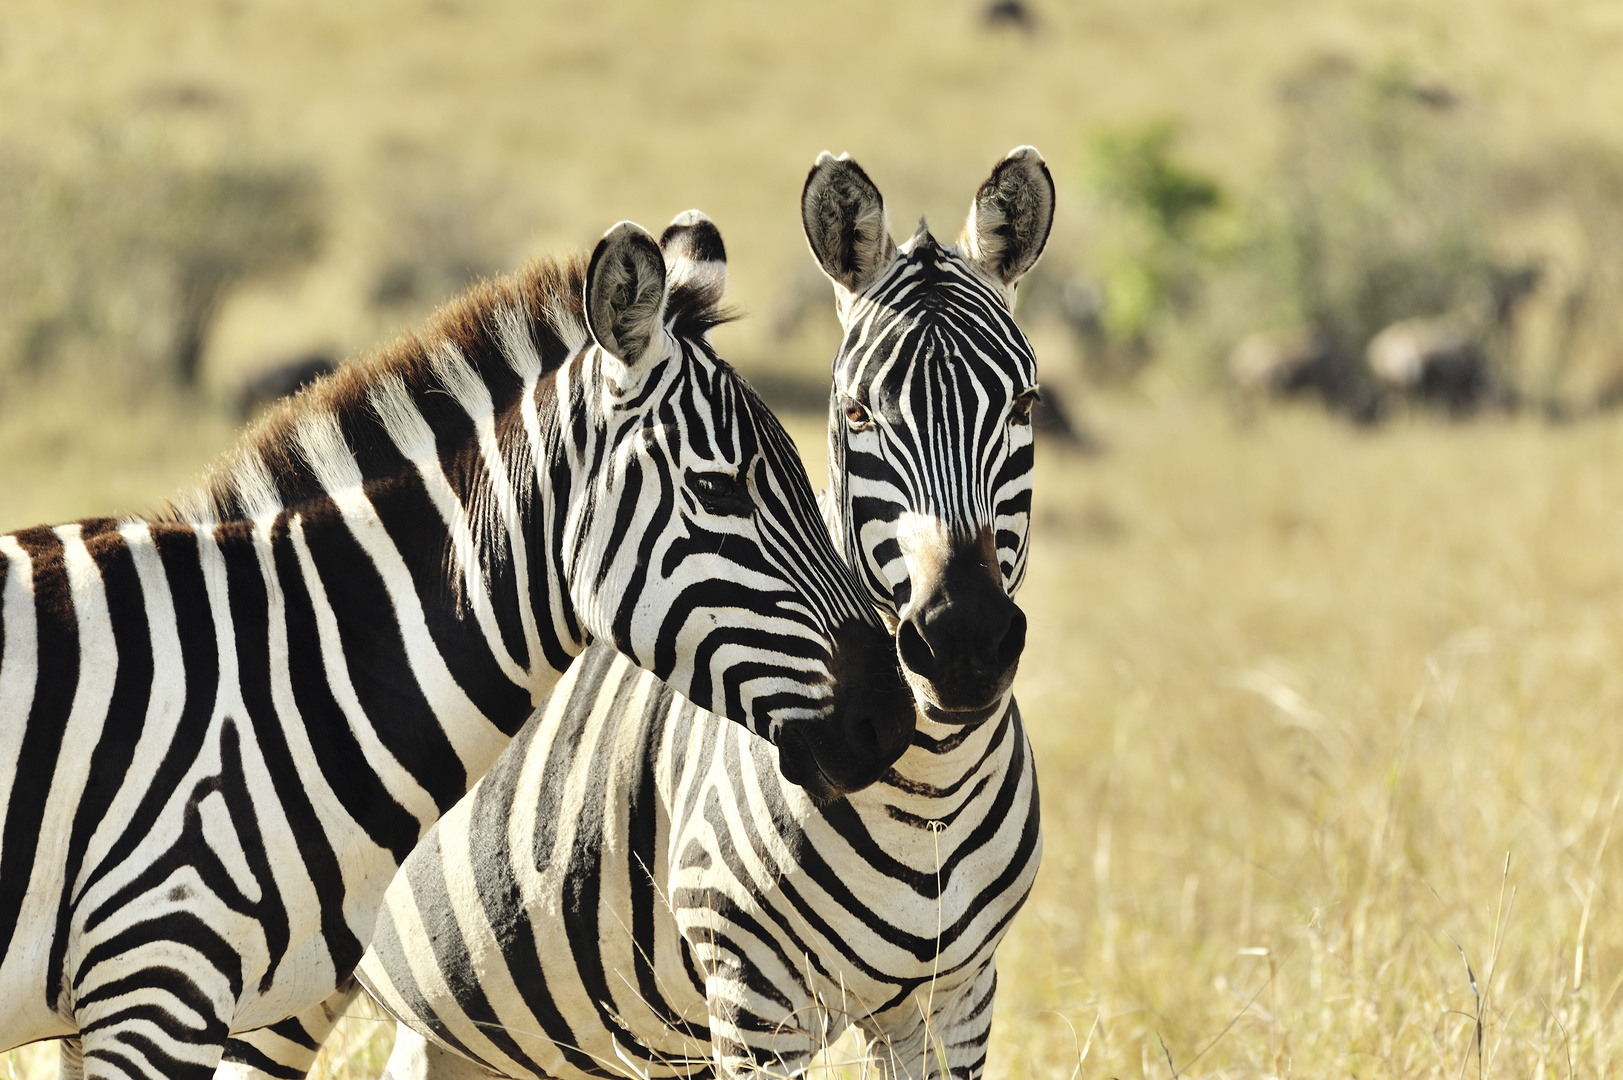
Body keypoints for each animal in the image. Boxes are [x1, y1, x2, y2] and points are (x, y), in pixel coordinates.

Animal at [358, 145, 1051, 1078]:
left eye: (1024, 407)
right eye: (857, 412)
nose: (964, 644)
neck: (927, 794)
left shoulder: (954, 1002)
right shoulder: (753, 1002)